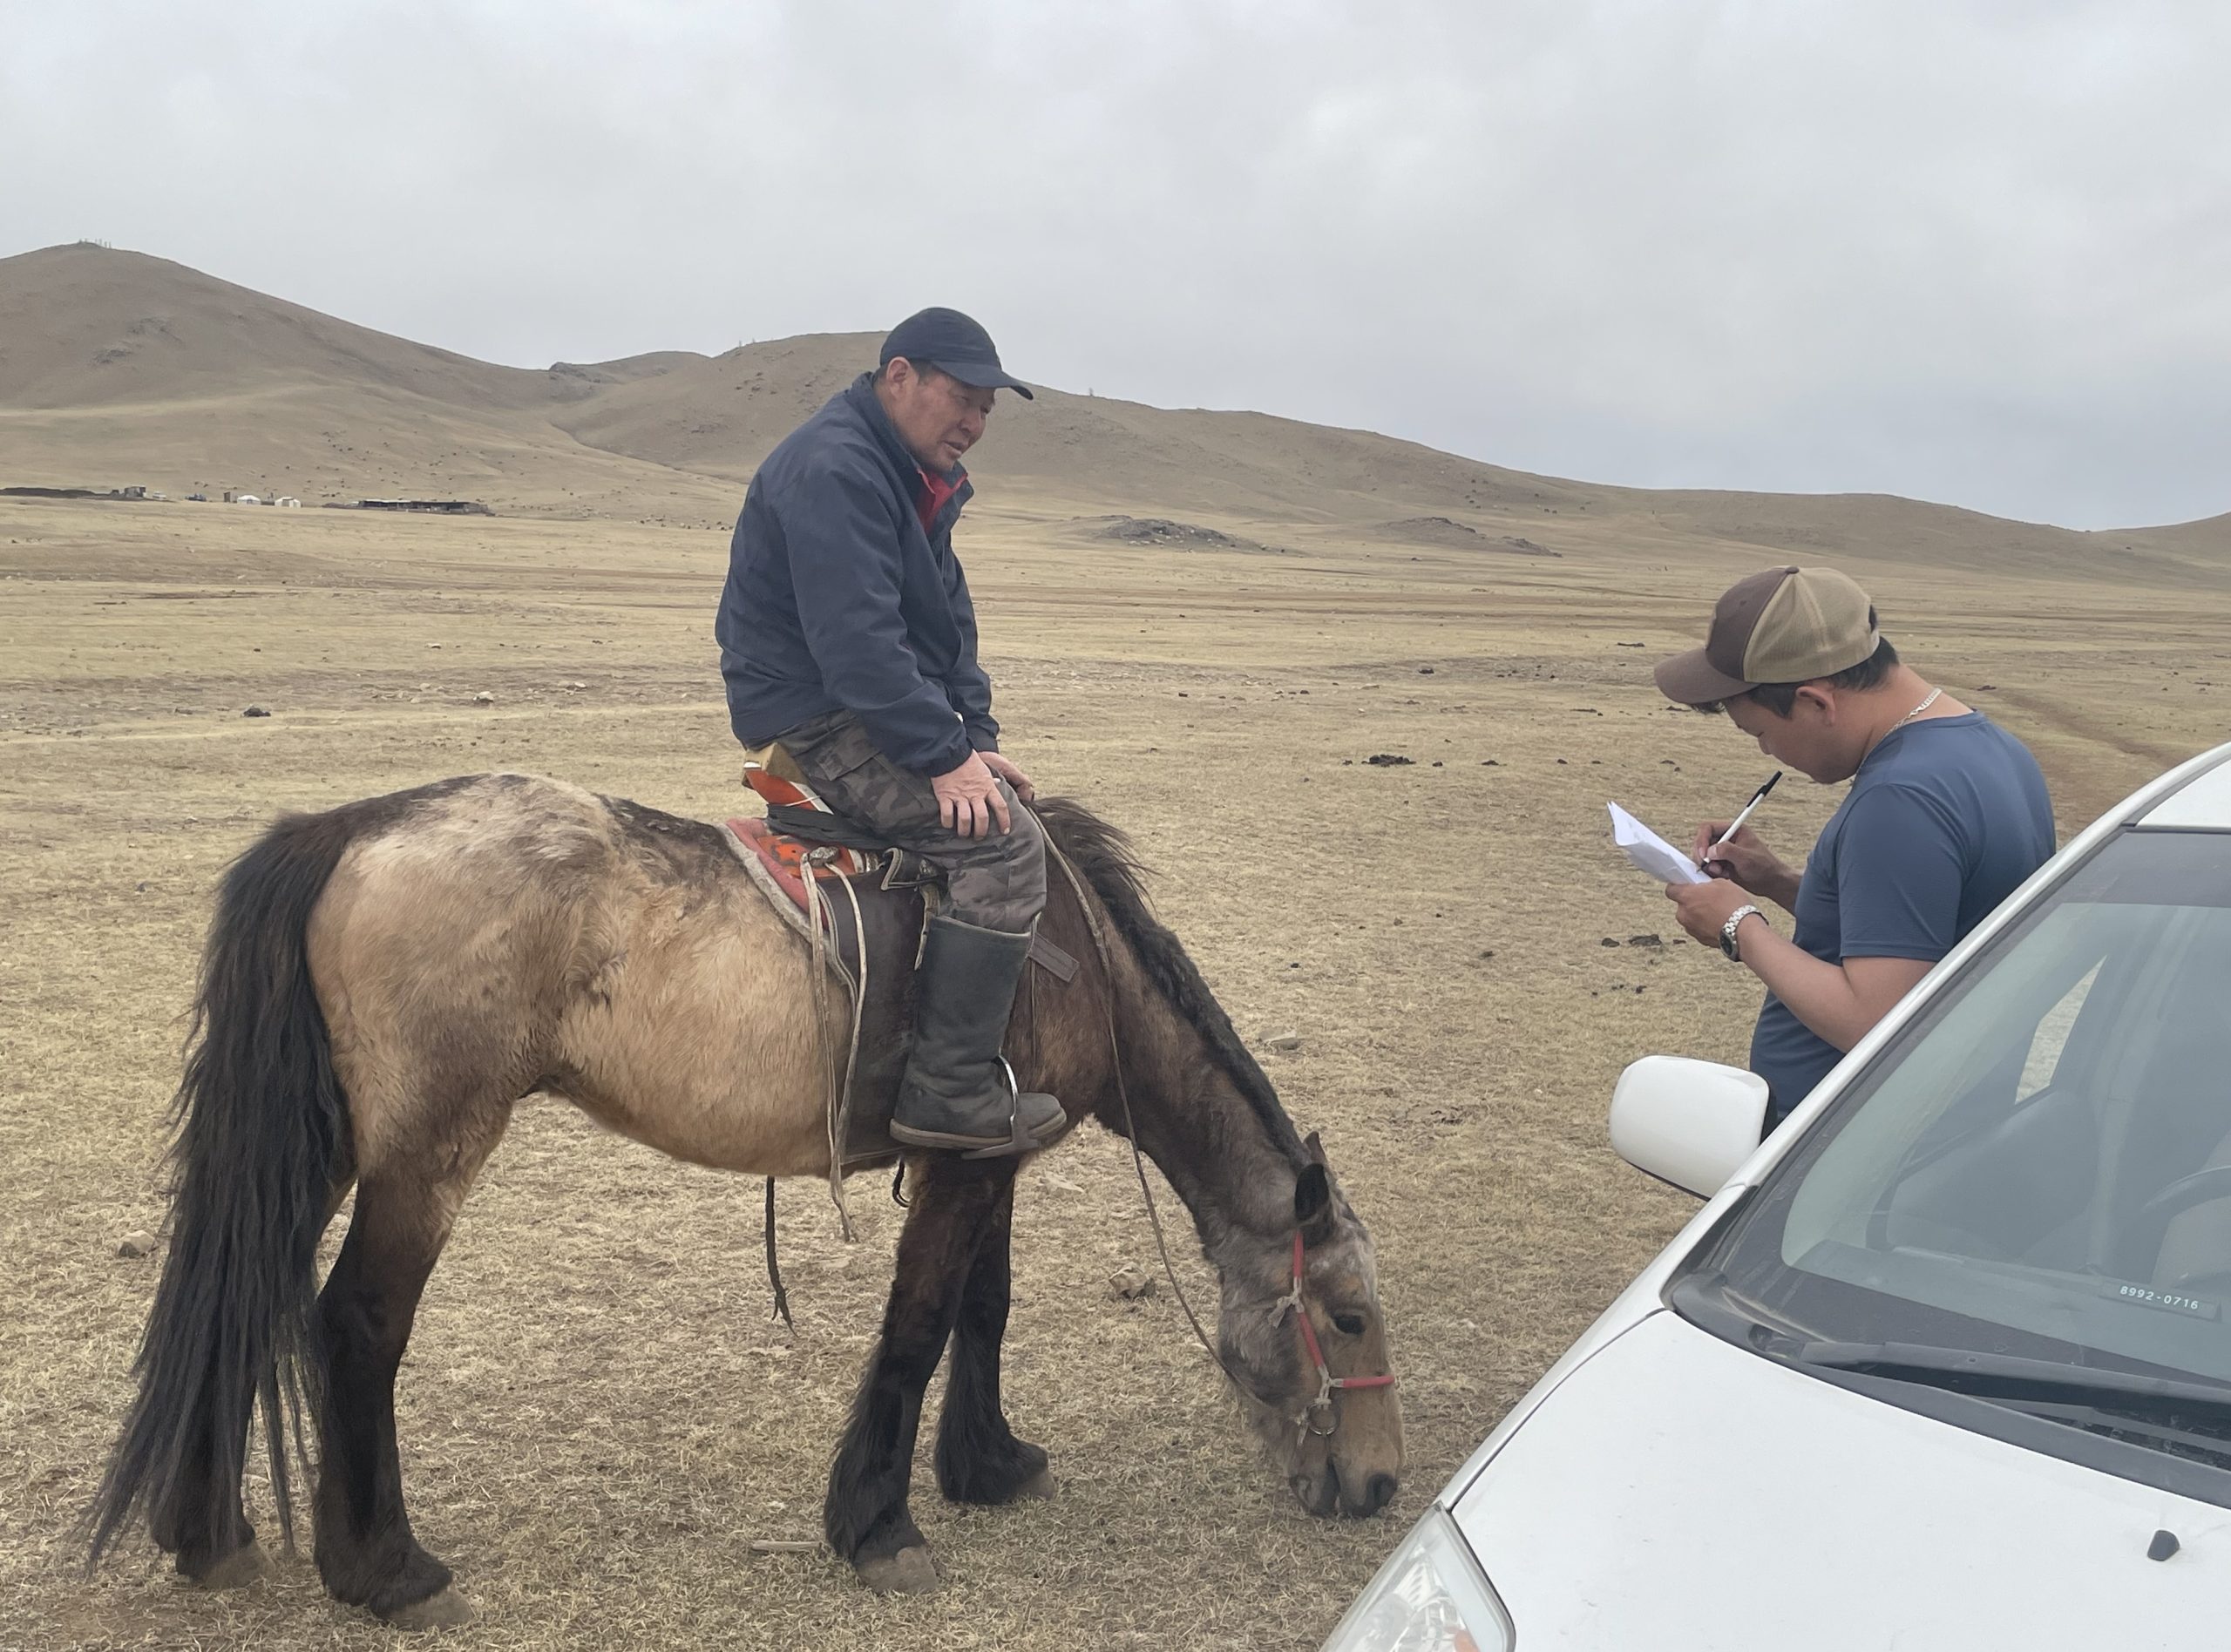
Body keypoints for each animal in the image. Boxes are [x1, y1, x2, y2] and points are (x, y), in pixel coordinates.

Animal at [91, 771, 1409, 1622]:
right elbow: (918, 1326)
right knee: (356, 1323)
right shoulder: (967, 1166)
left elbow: (983, 1310)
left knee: (239, 1291)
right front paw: (878, 1526)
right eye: (1348, 1319)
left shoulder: (990, 1156)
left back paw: (206, 1534)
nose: (1382, 1485)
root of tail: (351, 828)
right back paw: (386, 1572)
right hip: (428, 1147)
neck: (1075, 959)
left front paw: (989, 1465)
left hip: (322, 1139)